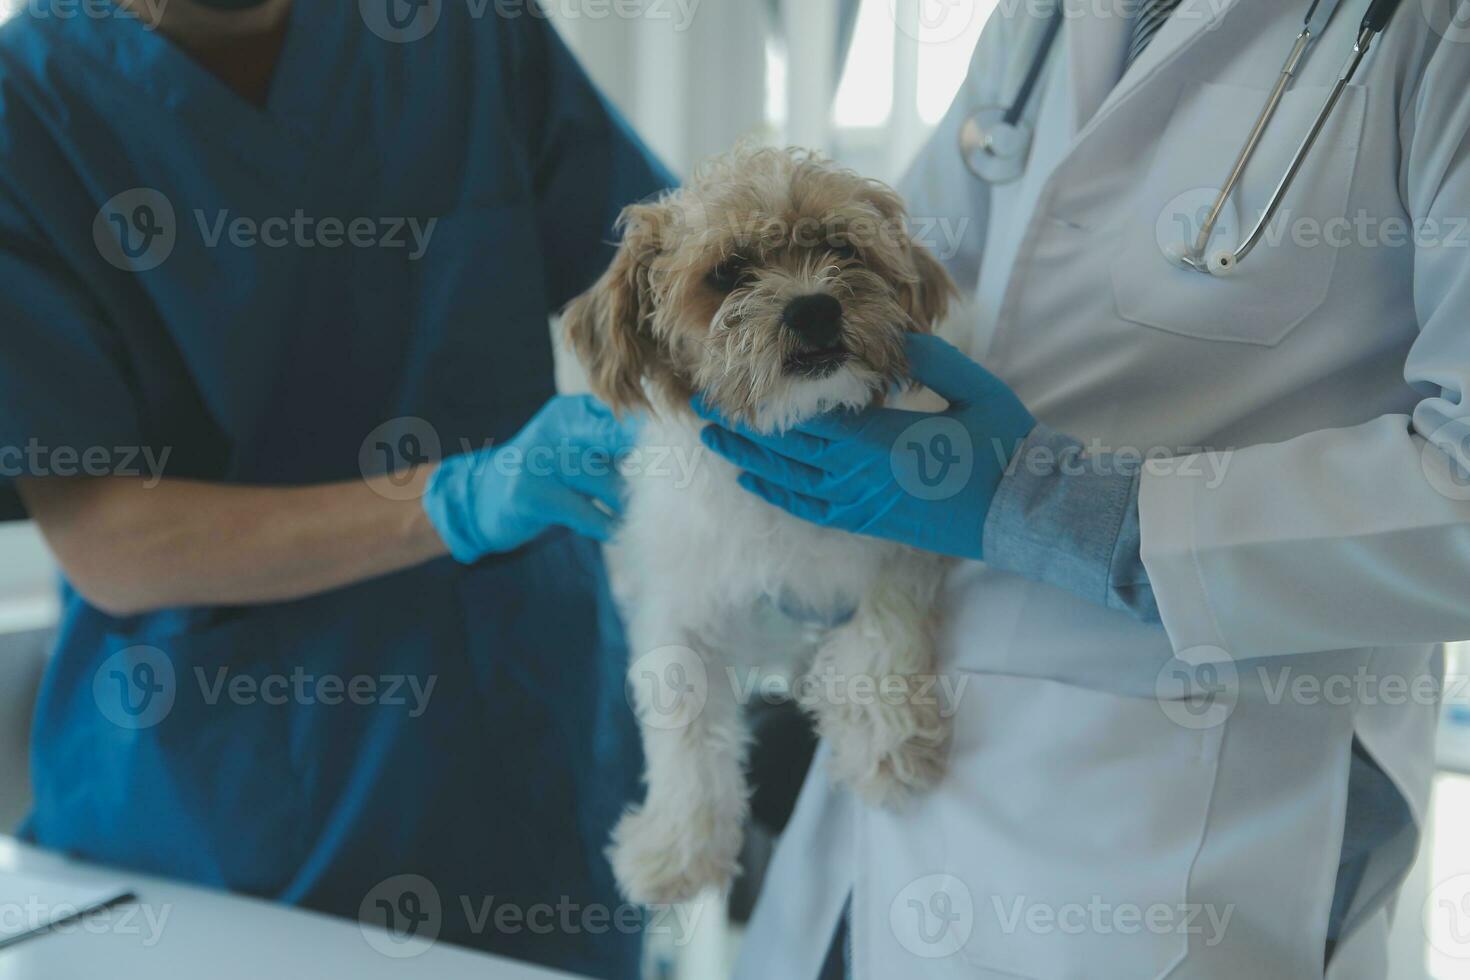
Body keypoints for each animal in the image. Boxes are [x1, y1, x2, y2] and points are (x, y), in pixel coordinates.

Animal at [558, 145, 952, 905]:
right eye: (727, 273)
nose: (814, 306)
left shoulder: (903, 540)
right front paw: (677, 846)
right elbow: (682, 727)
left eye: (841, 248)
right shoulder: (676, 608)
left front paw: (885, 742)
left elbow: (880, 635)